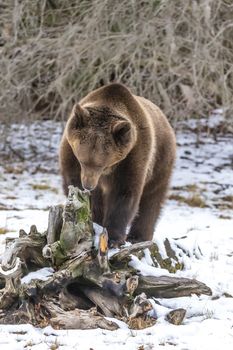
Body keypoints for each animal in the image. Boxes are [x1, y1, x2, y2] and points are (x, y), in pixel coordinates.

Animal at [59, 82, 176, 246]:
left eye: (102, 165)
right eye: (82, 161)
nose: (88, 185)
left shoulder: (133, 155)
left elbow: (124, 192)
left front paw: (113, 238)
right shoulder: (70, 152)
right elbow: (74, 182)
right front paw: (94, 220)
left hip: (161, 158)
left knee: (152, 196)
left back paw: (139, 236)